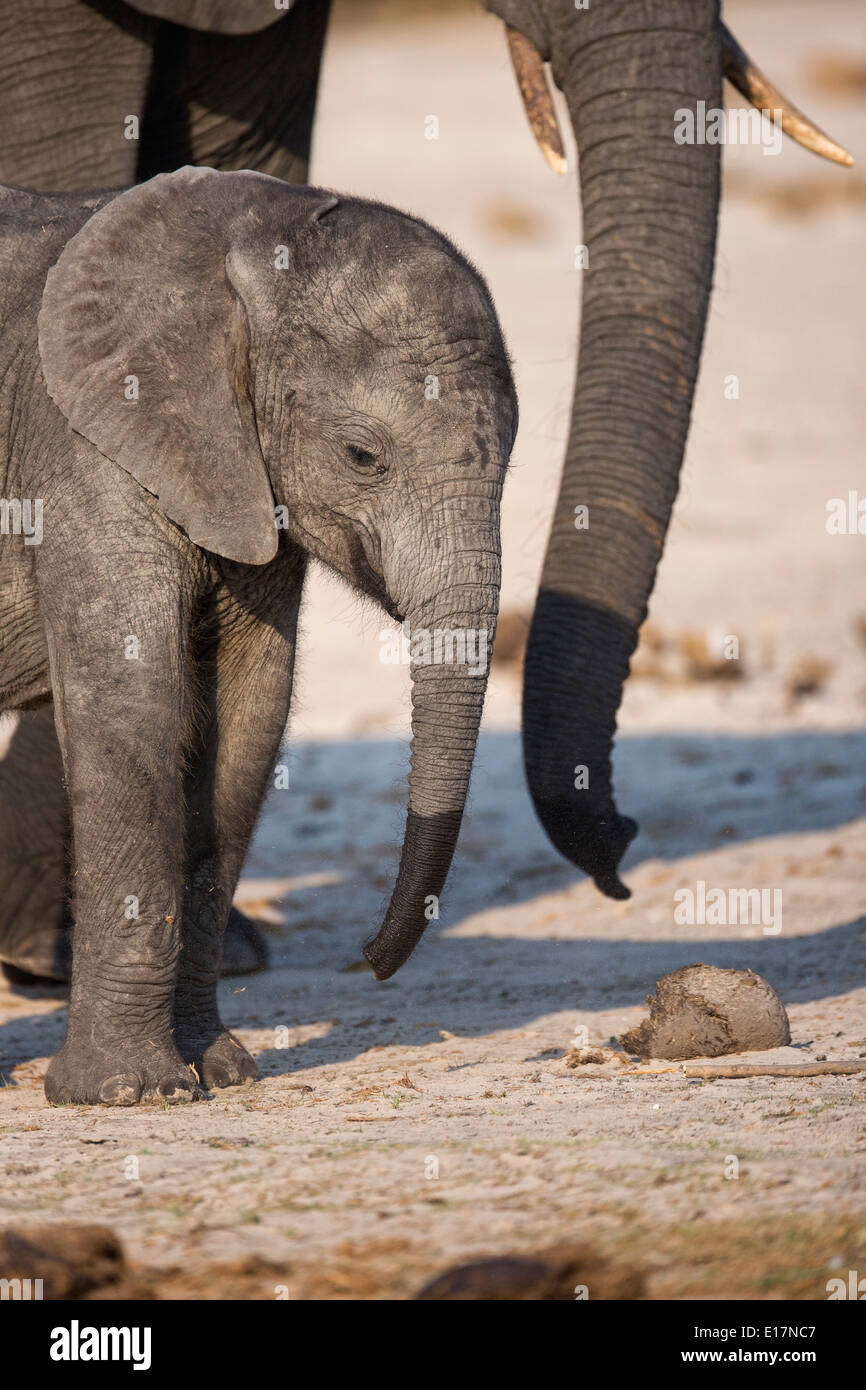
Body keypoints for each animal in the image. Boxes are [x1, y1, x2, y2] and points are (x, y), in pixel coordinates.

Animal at [0, 164, 516, 1103]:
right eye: (361, 456)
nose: (369, 959)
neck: (249, 237)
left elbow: (244, 723)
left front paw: (220, 1069)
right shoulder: (88, 456)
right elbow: (136, 712)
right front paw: (132, 1093)